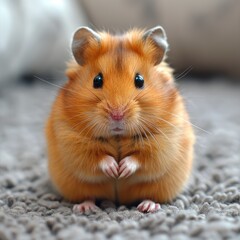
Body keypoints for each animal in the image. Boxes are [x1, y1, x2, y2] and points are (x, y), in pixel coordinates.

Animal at [45, 25, 195, 214]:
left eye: (139, 80)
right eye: (97, 80)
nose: (117, 115)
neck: (117, 136)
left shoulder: (164, 141)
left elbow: (142, 157)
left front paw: (122, 169)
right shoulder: (70, 139)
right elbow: (95, 157)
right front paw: (113, 169)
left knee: (151, 195)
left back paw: (148, 207)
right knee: (89, 195)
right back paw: (85, 207)